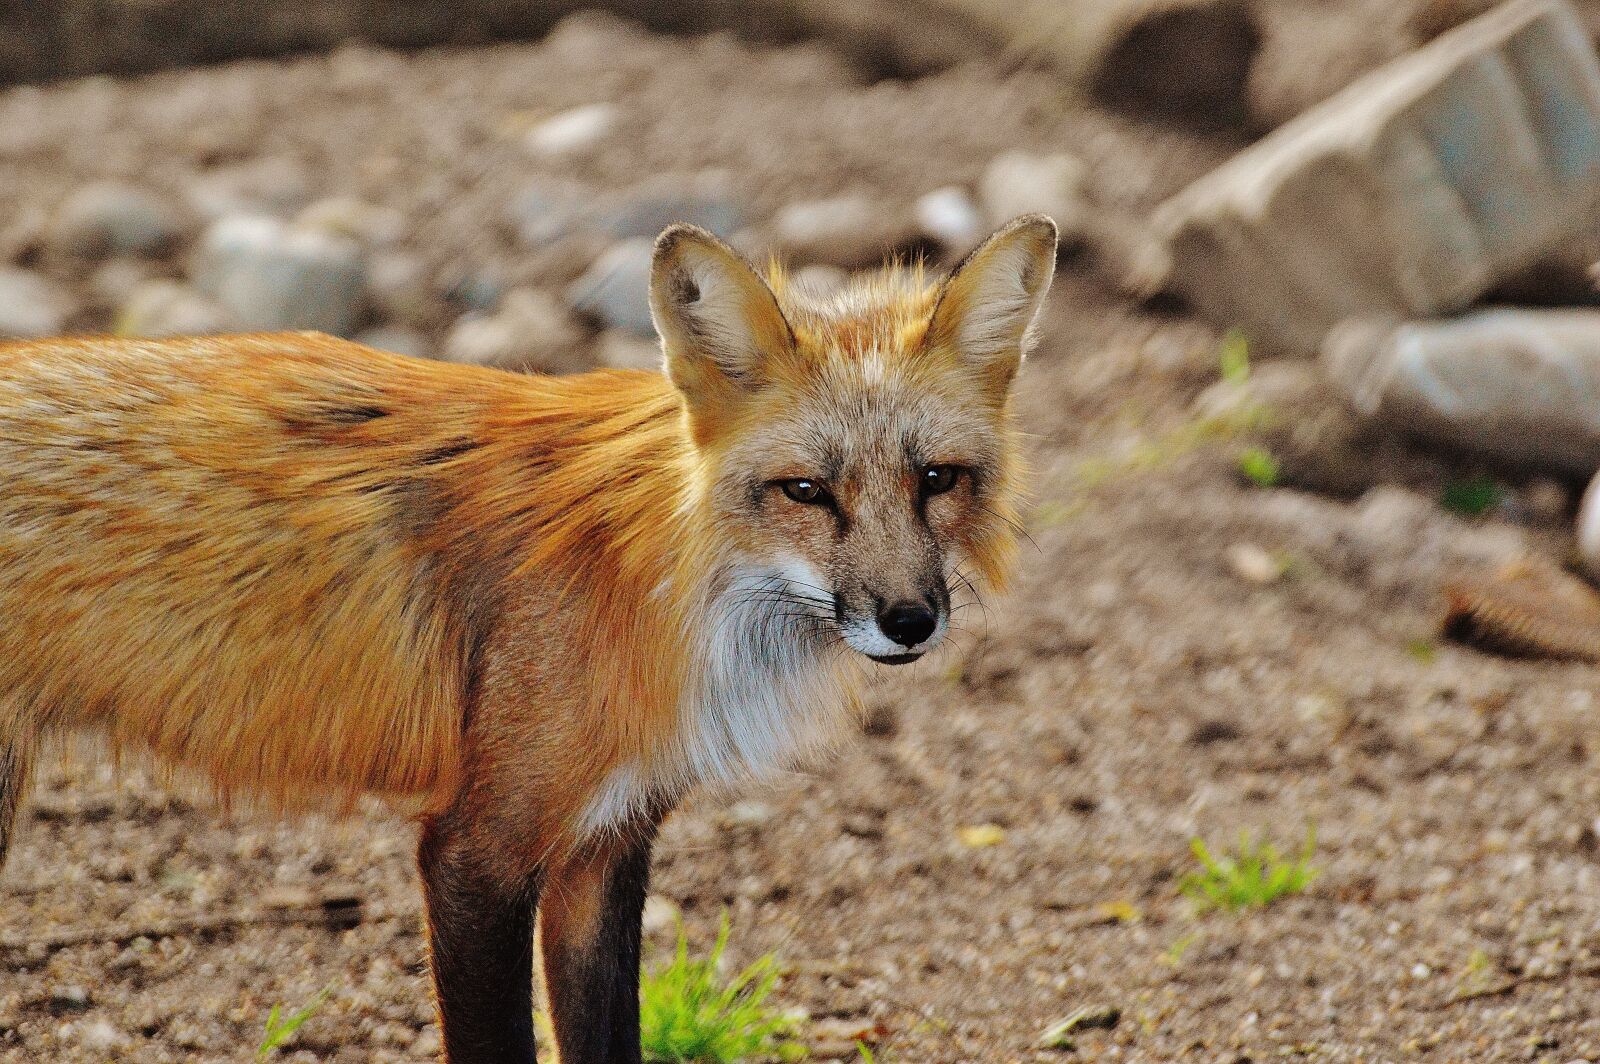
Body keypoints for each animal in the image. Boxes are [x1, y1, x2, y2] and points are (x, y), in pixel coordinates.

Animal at [0, 214, 1056, 1062]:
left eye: (938, 479)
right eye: (805, 491)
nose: (910, 621)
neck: (657, 587)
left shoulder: (605, 845)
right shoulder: (476, 849)